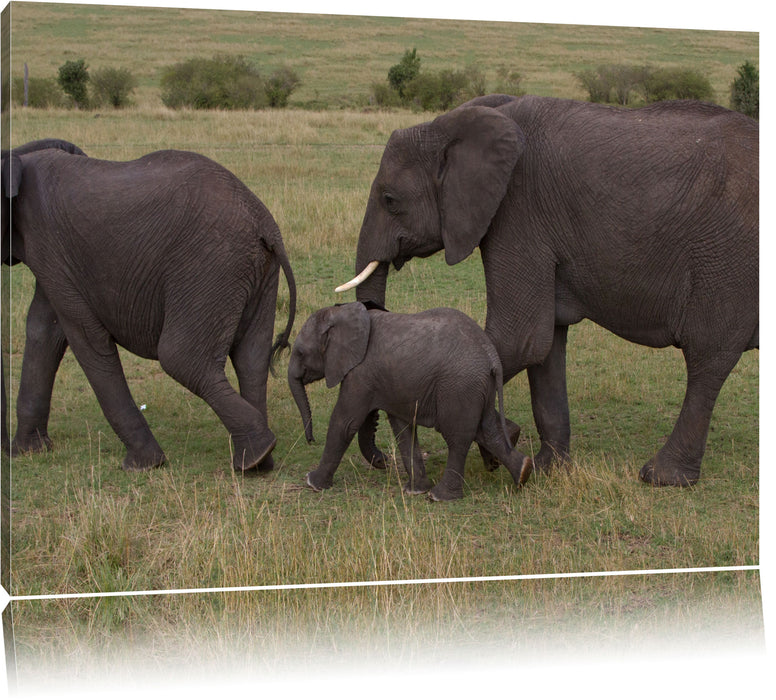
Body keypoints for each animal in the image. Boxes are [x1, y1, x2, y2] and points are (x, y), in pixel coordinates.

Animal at [1, 139, 298, 474]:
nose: (5, 450)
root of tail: (264, 223)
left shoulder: (50, 247)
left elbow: (85, 338)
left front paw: (143, 465)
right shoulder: (51, 259)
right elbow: (43, 331)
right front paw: (27, 452)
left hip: (211, 265)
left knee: (181, 358)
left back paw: (256, 454)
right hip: (255, 271)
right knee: (251, 359)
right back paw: (258, 462)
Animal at [286, 304, 532, 500]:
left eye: (300, 353)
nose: (310, 440)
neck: (341, 313)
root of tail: (491, 356)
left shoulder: (360, 373)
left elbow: (344, 422)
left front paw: (312, 483)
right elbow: (403, 429)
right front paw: (415, 490)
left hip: (459, 387)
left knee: (457, 438)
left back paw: (440, 497)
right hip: (478, 388)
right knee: (487, 430)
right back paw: (524, 473)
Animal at [338, 93, 756, 486]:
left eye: (390, 200)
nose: (383, 461)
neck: (451, 124)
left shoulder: (518, 212)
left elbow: (518, 339)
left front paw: (503, 444)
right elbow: (544, 345)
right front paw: (545, 469)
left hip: (725, 260)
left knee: (706, 357)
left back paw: (662, 477)